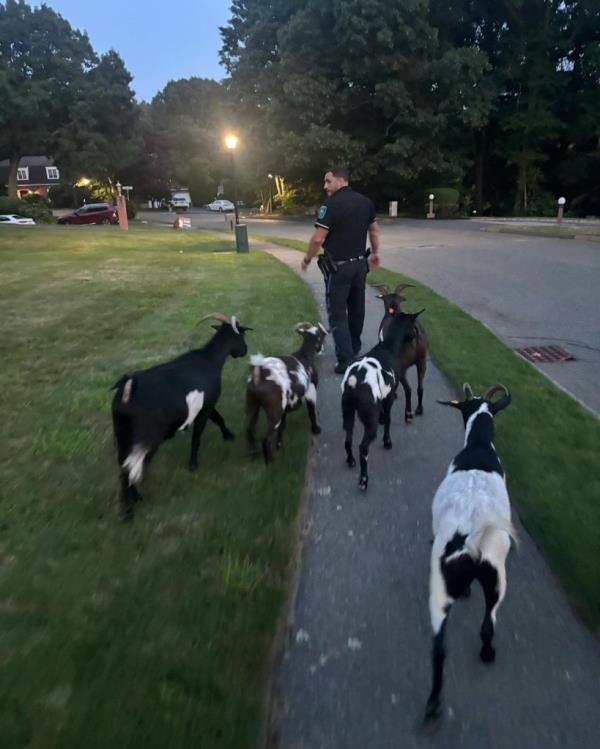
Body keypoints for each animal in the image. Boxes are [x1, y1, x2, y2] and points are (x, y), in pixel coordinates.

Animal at [111, 312, 250, 516]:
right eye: (242, 336)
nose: (245, 351)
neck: (210, 359)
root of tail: (129, 387)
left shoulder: (206, 405)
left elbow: (218, 418)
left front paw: (228, 436)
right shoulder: (206, 407)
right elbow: (198, 435)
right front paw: (193, 464)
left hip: (122, 434)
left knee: (123, 465)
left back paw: (131, 502)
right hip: (147, 438)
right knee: (134, 465)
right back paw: (131, 507)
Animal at [245, 320, 328, 462]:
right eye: (321, 336)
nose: (322, 349)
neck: (304, 355)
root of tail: (260, 375)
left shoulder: (285, 406)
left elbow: (283, 426)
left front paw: (279, 444)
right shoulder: (311, 392)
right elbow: (312, 413)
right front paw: (316, 429)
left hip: (252, 405)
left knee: (249, 430)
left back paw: (253, 454)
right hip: (274, 412)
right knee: (265, 439)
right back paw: (270, 462)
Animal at [340, 308, 424, 490]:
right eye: (414, 327)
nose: (417, 339)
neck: (388, 347)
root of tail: (354, 381)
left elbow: (384, 416)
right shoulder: (390, 396)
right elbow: (389, 419)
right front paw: (387, 441)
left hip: (347, 412)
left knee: (348, 440)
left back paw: (350, 461)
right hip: (368, 419)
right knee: (363, 447)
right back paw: (363, 480)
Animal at [376, 280, 426, 420]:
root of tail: (415, 330)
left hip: (402, 366)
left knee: (408, 389)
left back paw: (408, 414)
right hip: (422, 361)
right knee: (420, 387)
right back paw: (419, 409)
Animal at [424, 382, 516, 720]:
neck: (478, 447)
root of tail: (469, 539)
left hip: (441, 588)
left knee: (440, 647)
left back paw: (433, 705)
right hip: (496, 580)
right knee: (487, 625)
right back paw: (487, 654)